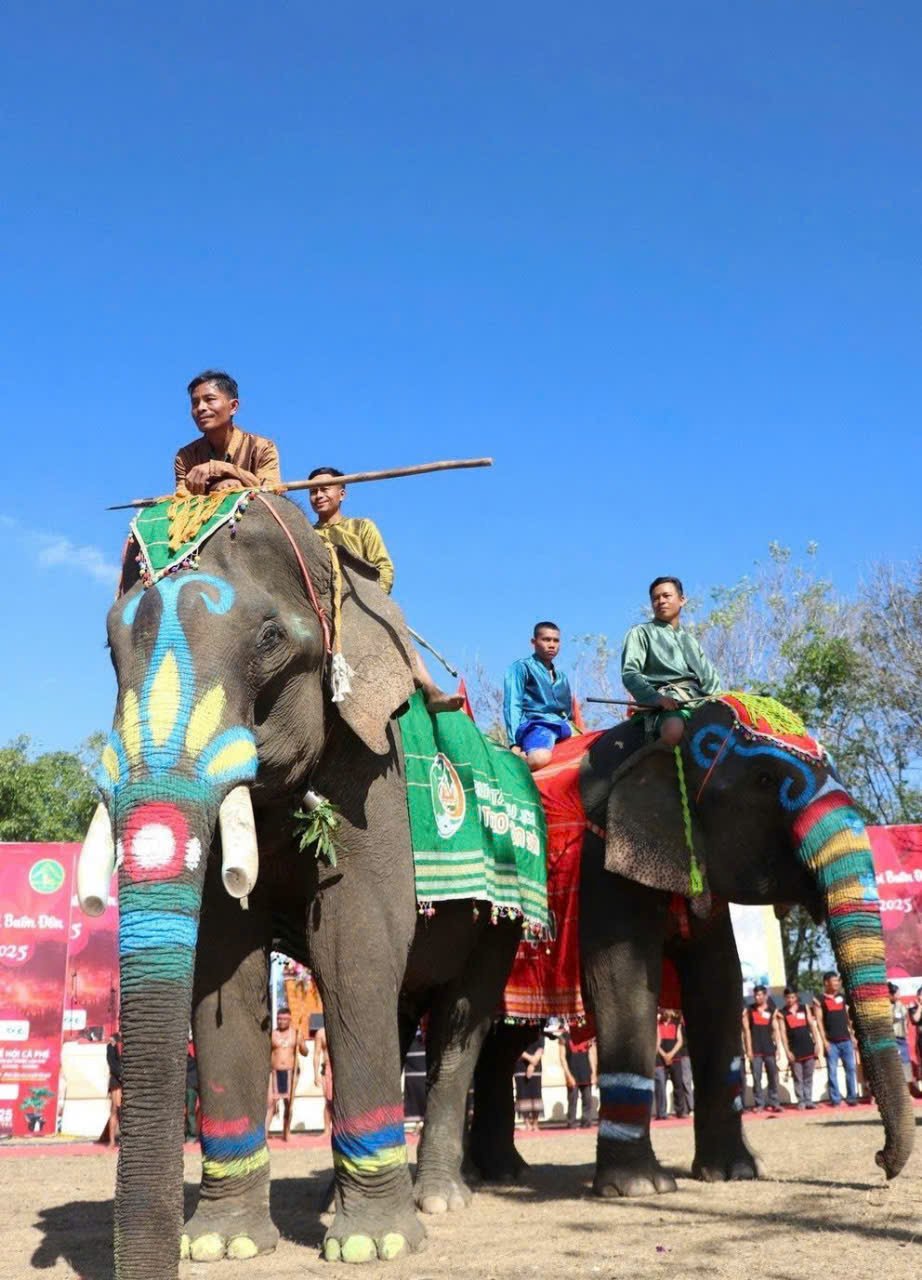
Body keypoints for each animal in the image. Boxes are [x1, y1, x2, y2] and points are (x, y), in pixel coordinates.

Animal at [75, 491, 525, 1280]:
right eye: (109, 647)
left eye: (268, 641)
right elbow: (226, 969)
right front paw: (220, 1245)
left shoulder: (373, 780)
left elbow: (355, 948)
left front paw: (373, 1248)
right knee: (397, 1006)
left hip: (505, 909)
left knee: (460, 1021)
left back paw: (438, 1201)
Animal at [468, 696, 916, 1192]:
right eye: (764, 780)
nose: (880, 1162)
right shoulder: (603, 857)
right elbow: (622, 980)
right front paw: (641, 1188)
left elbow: (720, 982)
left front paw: (735, 1173)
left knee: (502, 1044)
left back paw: (502, 1174)